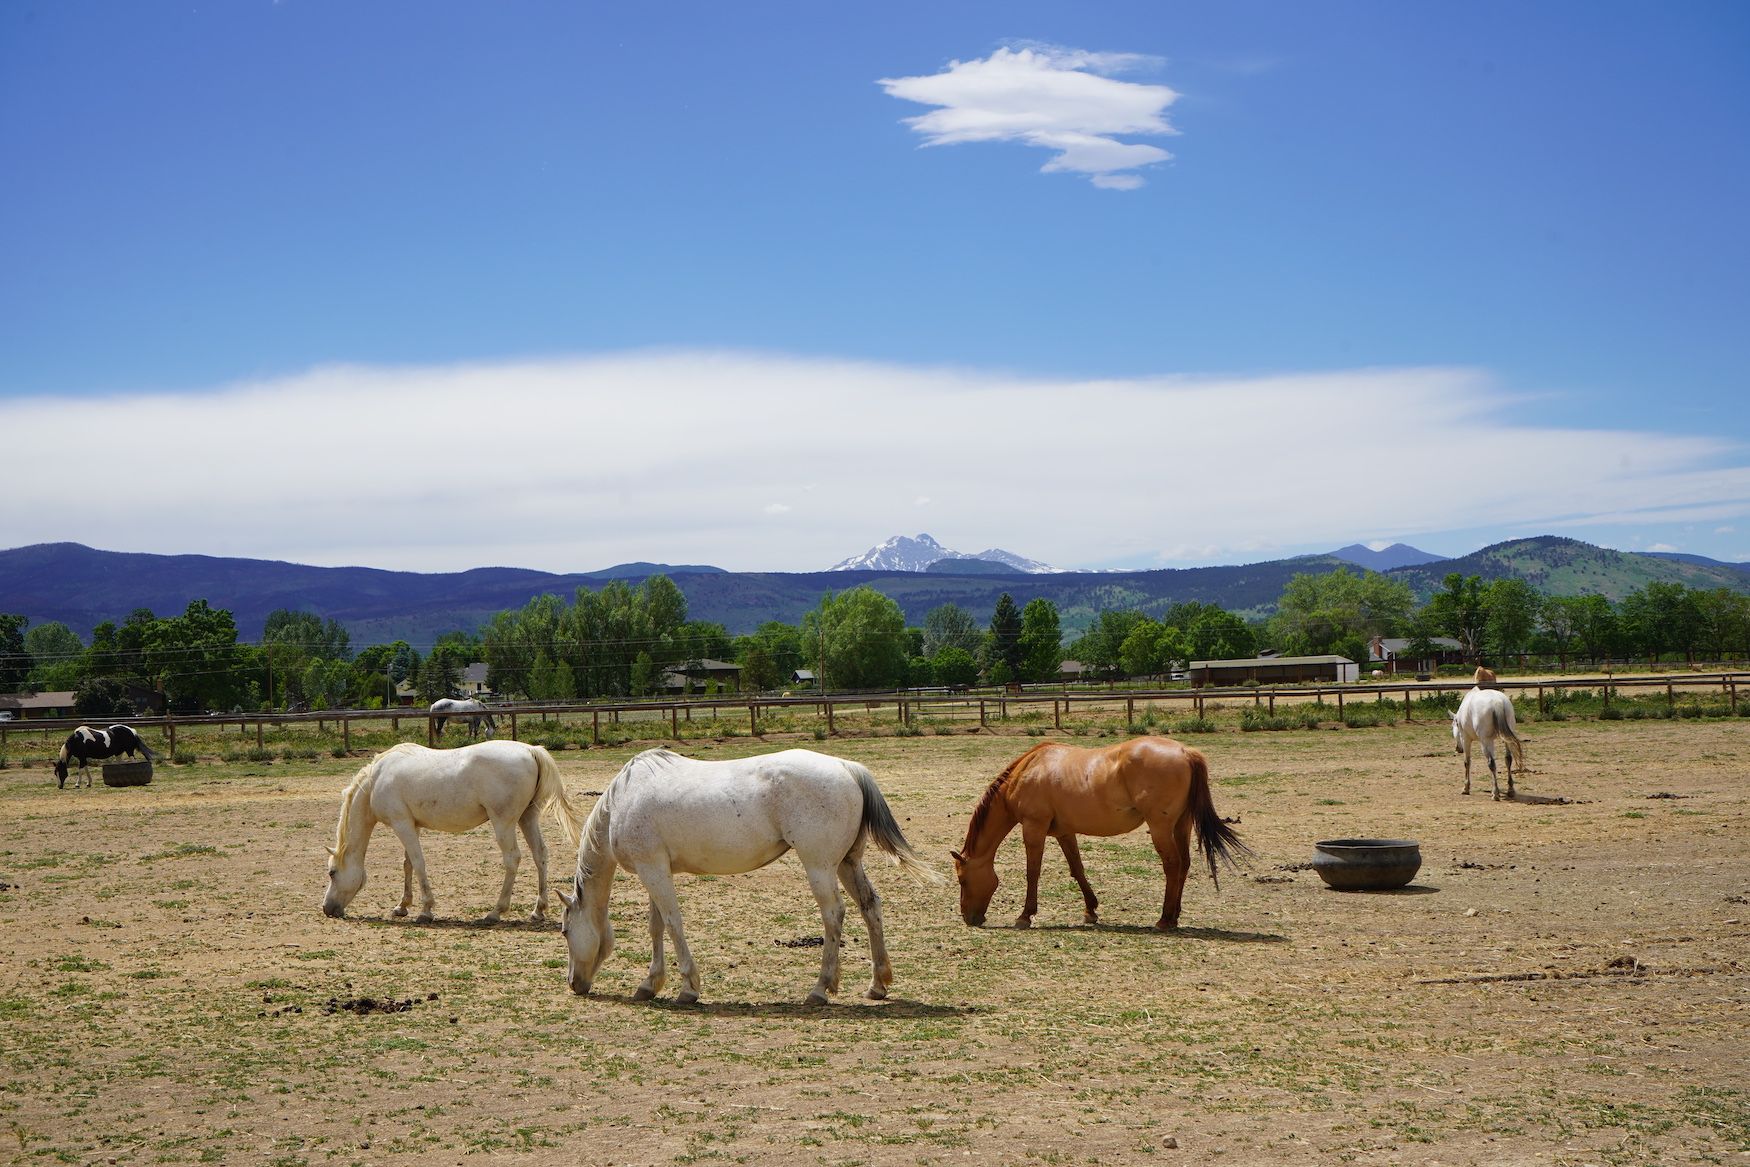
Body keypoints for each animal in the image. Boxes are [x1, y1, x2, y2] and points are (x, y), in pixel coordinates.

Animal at [322, 740, 583, 923]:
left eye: (332, 873)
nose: (327, 909)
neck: (376, 780)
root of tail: (531, 750)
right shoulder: (412, 825)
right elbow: (408, 864)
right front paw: (403, 906)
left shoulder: (401, 824)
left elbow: (418, 862)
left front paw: (426, 910)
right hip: (527, 818)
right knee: (540, 855)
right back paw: (538, 910)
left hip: (504, 823)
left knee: (512, 859)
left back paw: (495, 912)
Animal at [560, 748, 938, 1005]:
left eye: (564, 931)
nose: (574, 984)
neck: (620, 803)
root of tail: (847, 767)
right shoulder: (655, 870)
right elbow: (657, 926)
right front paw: (650, 984)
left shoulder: (652, 869)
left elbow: (672, 923)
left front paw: (688, 988)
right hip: (848, 863)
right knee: (869, 906)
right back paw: (878, 984)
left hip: (819, 866)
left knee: (834, 914)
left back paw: (820, 988)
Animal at [951, 737, 1250, 933]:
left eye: (963, 880)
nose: (968, 918)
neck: (1028, 770)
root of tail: (1186, 752)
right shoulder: (1064, 832)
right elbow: (1077, 869)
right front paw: (1090, 910)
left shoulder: (1033, 827)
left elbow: (1032, 872)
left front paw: (1025, 915)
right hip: (1181, 825)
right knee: (1184, 865)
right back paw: (1174, 916)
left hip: (1160, 828)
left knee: (1173, 865)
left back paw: (1164, 919)